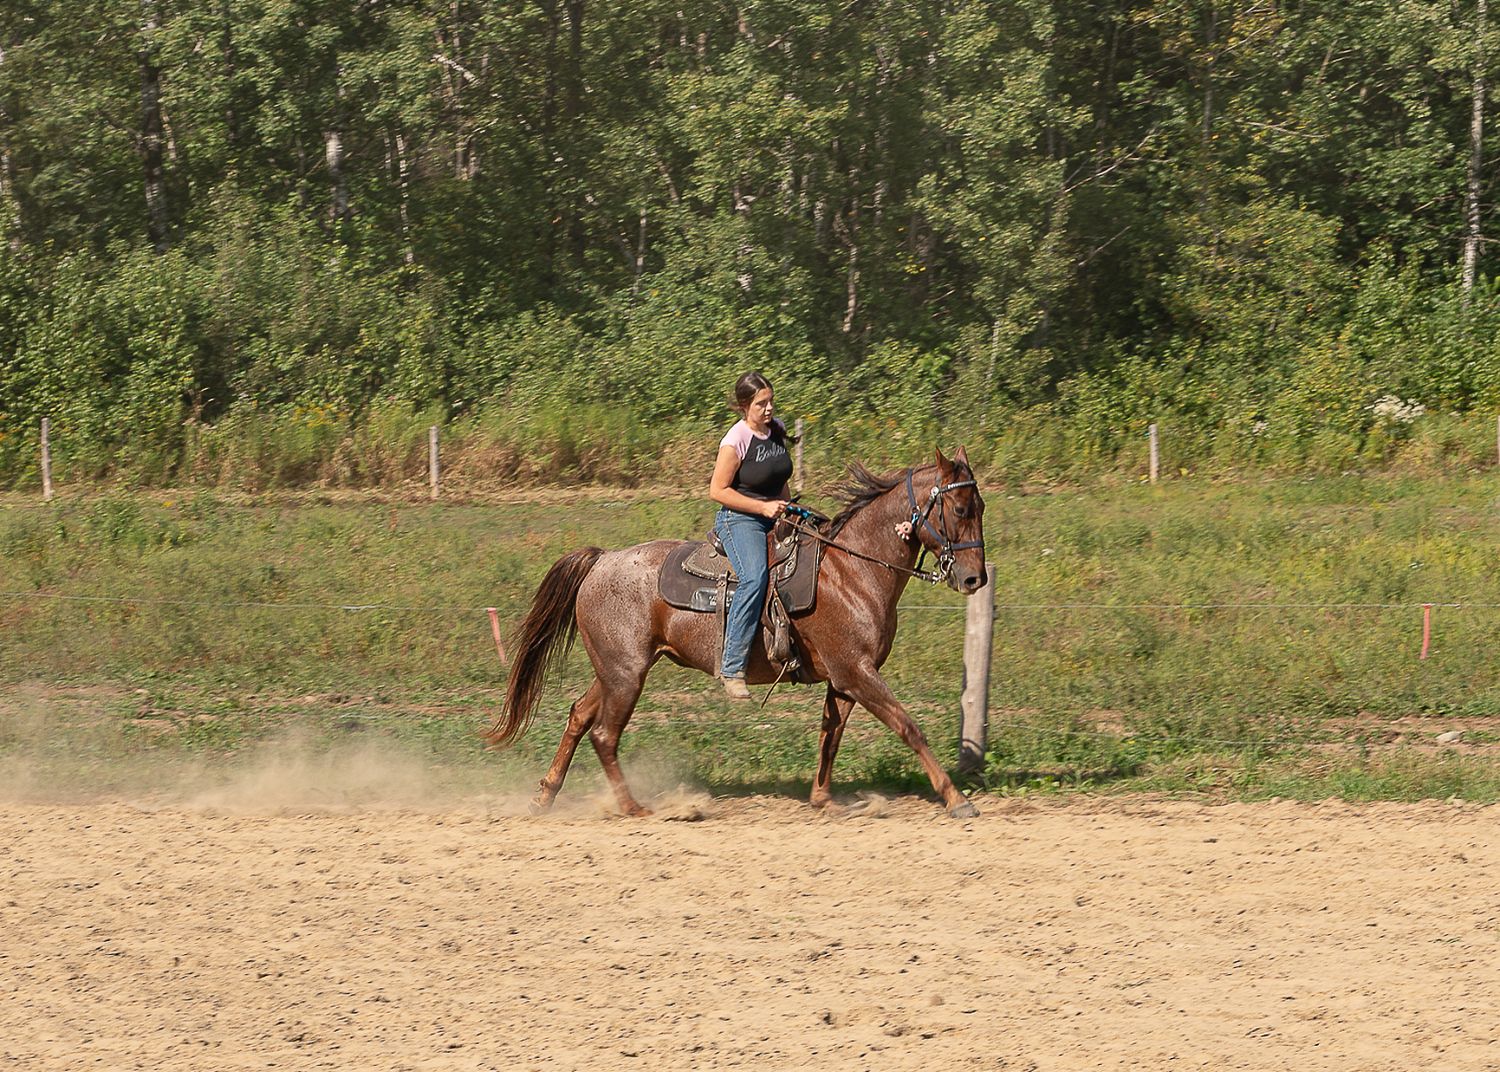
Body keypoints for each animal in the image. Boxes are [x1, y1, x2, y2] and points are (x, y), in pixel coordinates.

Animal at [483, 447, 989, 818]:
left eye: (981, 506)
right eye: (960, 507)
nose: (974, 579)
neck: (852, 570)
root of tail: (603, 560)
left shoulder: (846, 679)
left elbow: (831, 735)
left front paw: (822, 799)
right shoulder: (857, 672)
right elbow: (909, 727)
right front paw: (956, 799)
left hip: (614, 670)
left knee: (578, 717)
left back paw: (545, 795)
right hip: (625, 674)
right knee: (605, 734)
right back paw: (633, 807)